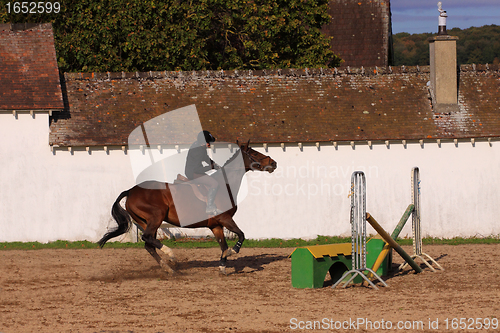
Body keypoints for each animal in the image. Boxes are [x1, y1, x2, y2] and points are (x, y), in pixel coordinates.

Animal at [97, 140, 278, 272]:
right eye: (254, 153)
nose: (274, 163)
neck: (225, 185)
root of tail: (130, 191)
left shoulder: (216, 225)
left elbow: (223, 245)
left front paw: (222, 266)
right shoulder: (225, 219)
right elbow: (241, 235)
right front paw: (234, 252)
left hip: (146, 222)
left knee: (149, 244)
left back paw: (168, 269)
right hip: (156, 217)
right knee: (147, 238)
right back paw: (171, 256)